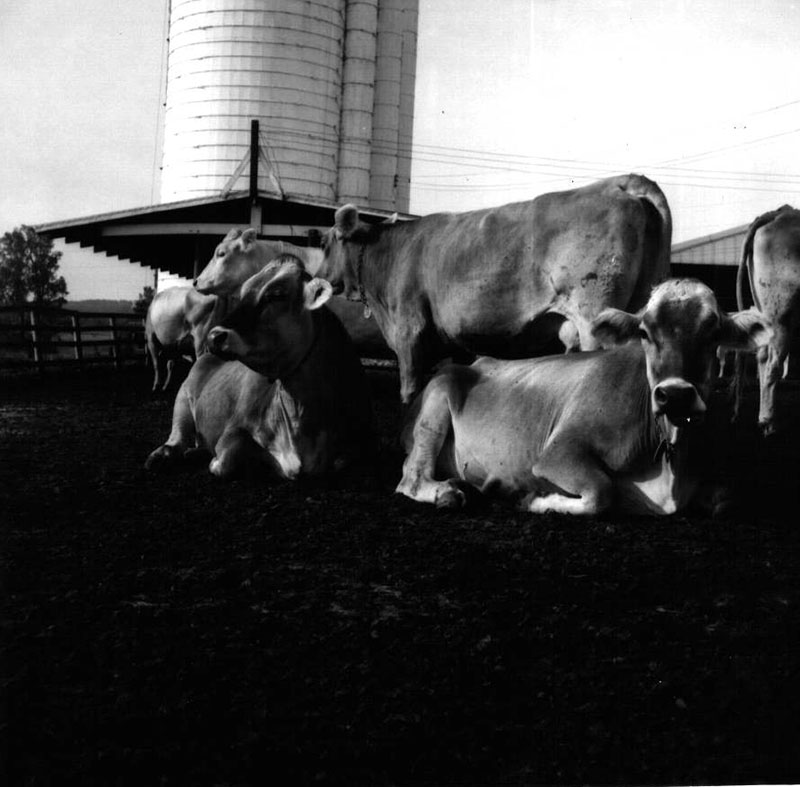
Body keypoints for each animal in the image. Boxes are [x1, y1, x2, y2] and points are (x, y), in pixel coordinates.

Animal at [145, 258, 376, 480]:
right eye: (242, 294)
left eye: (276, 295)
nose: (214, 336)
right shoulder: (234, 430)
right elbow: (227, 457)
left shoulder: (360, 445)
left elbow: (344, 461)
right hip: (182, 400)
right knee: (177, 440)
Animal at [396, 278, 768, 516]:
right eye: (644, 332)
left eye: (713, 333)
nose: (675, 395)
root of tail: (476, 361)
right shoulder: (558, 453)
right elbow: (602, 492)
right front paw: (537, 501)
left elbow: (725, 500)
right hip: (437, 400)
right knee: (410, 478)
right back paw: (448, 492)